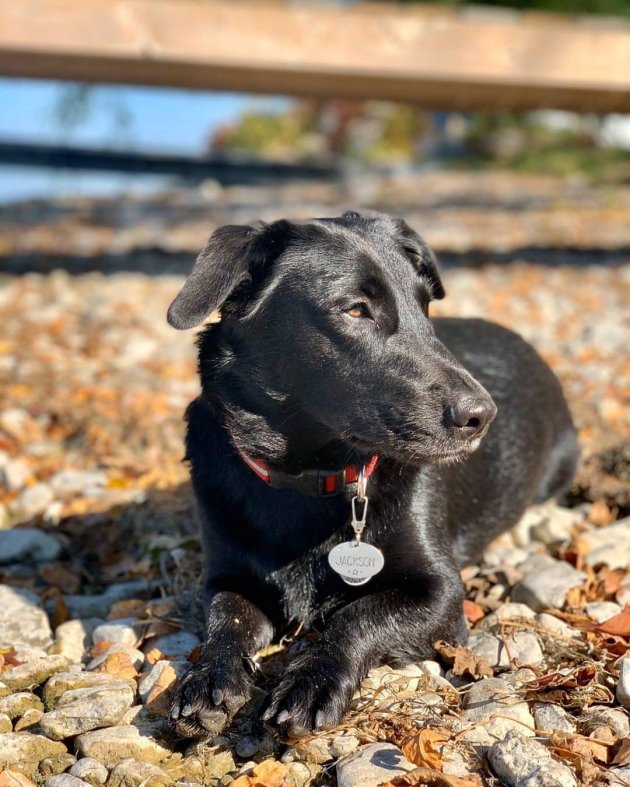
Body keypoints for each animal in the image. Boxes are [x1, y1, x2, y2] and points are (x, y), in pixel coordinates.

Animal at [165, 211, 580, 740]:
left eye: (425, 307)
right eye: (356, 310)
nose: (482, 416)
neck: (308, 478)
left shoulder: (442, 592)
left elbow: (358, 614)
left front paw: (312, 679)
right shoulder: (228, 576)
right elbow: (226, 620)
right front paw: (209, 677)